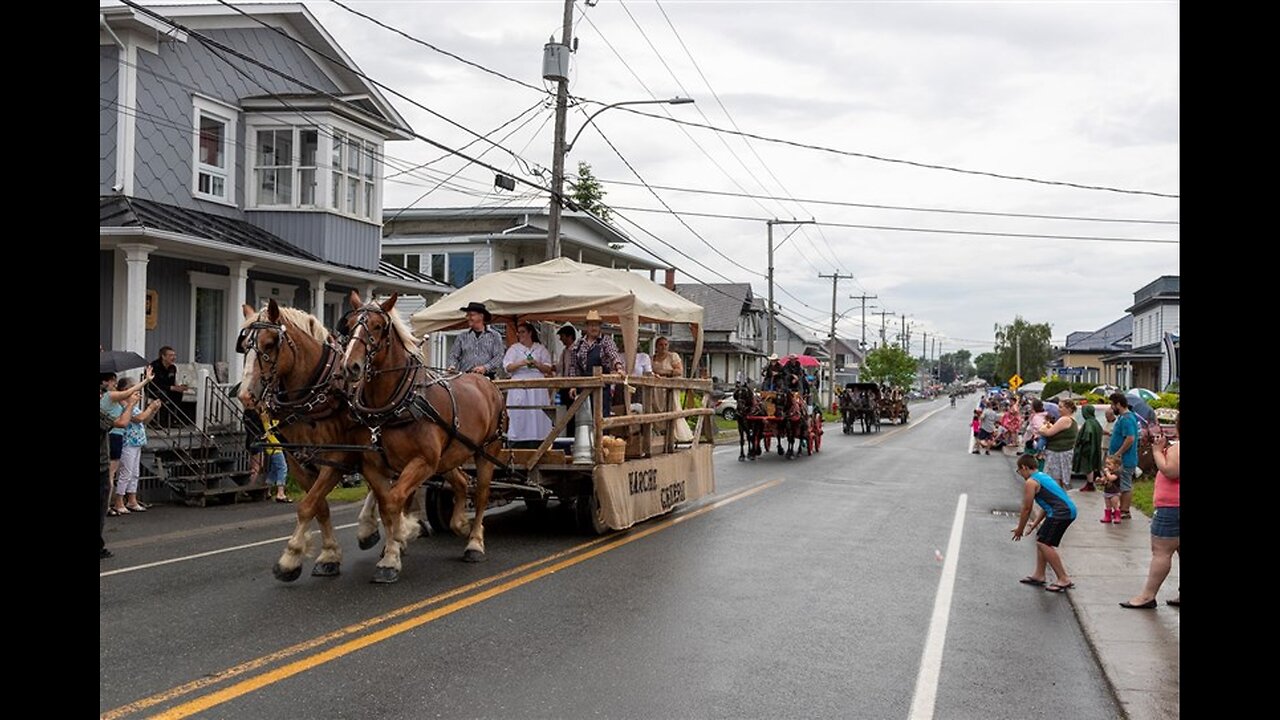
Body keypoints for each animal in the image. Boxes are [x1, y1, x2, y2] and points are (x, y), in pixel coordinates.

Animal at [343, 292, 506, 584]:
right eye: (349, 324)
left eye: (377, 326)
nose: (351, 365)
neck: (399, 401)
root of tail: (488, 384)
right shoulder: (375, 466)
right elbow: (386, 504)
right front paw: (392, 549)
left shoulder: (422, 462)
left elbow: (394, 500)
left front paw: (398, 545)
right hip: (450, 455)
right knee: (462, 482)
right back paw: (460, 525)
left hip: (486, 452)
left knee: (482, 494)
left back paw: (474, 542)